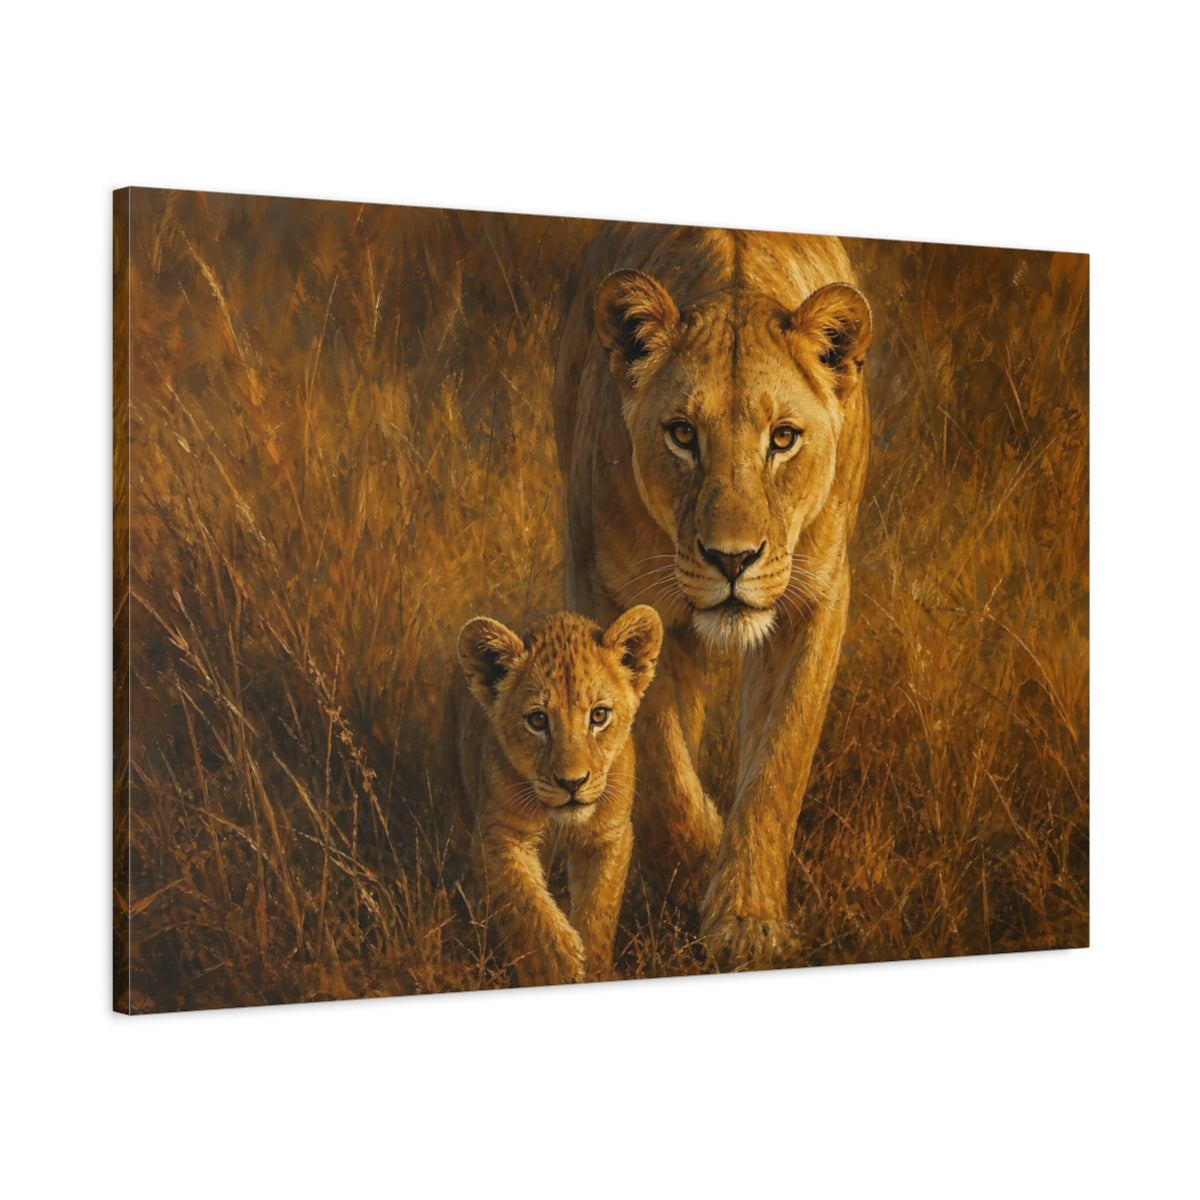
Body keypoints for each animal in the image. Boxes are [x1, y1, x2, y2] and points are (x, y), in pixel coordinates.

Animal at [454, 606, 663, 986]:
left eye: (599, 715)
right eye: (538, 720)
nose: (572, 782)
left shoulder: (610, 835)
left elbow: (599, 909)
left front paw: (593, 968)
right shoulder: (497, 837)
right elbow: (529, 912)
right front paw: (560, 970)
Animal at [552, 225, 871, 969]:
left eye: (782, 439)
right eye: (681, 434)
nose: (732, 559)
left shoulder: (816, 599)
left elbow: (780, 760)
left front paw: (747, 920)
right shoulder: (607, 590)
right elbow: (659, 763)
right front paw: (696, 870)